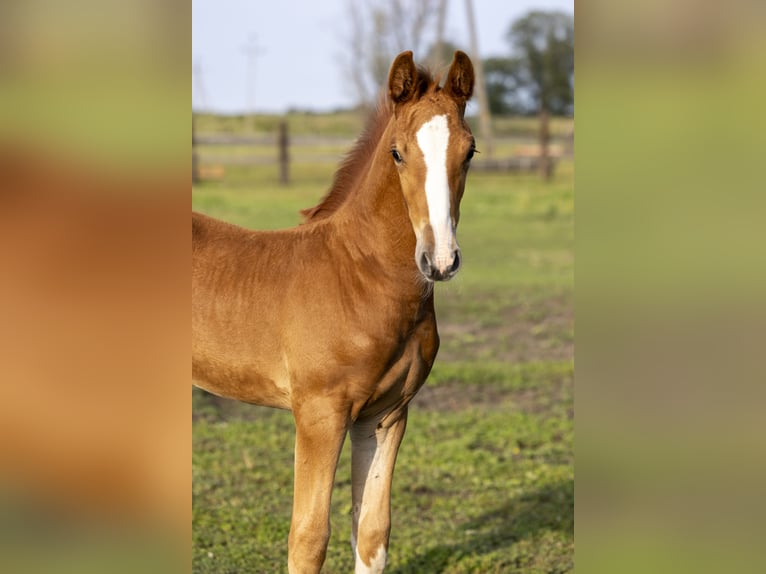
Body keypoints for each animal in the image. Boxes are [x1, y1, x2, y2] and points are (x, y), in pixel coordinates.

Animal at [192, 51, 476, 572]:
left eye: (469, 152)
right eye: (397, 153)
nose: (440, 259)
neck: (358, 276)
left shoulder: (387, 415)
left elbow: (372, 533)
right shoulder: (319, 415)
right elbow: (308, 538)